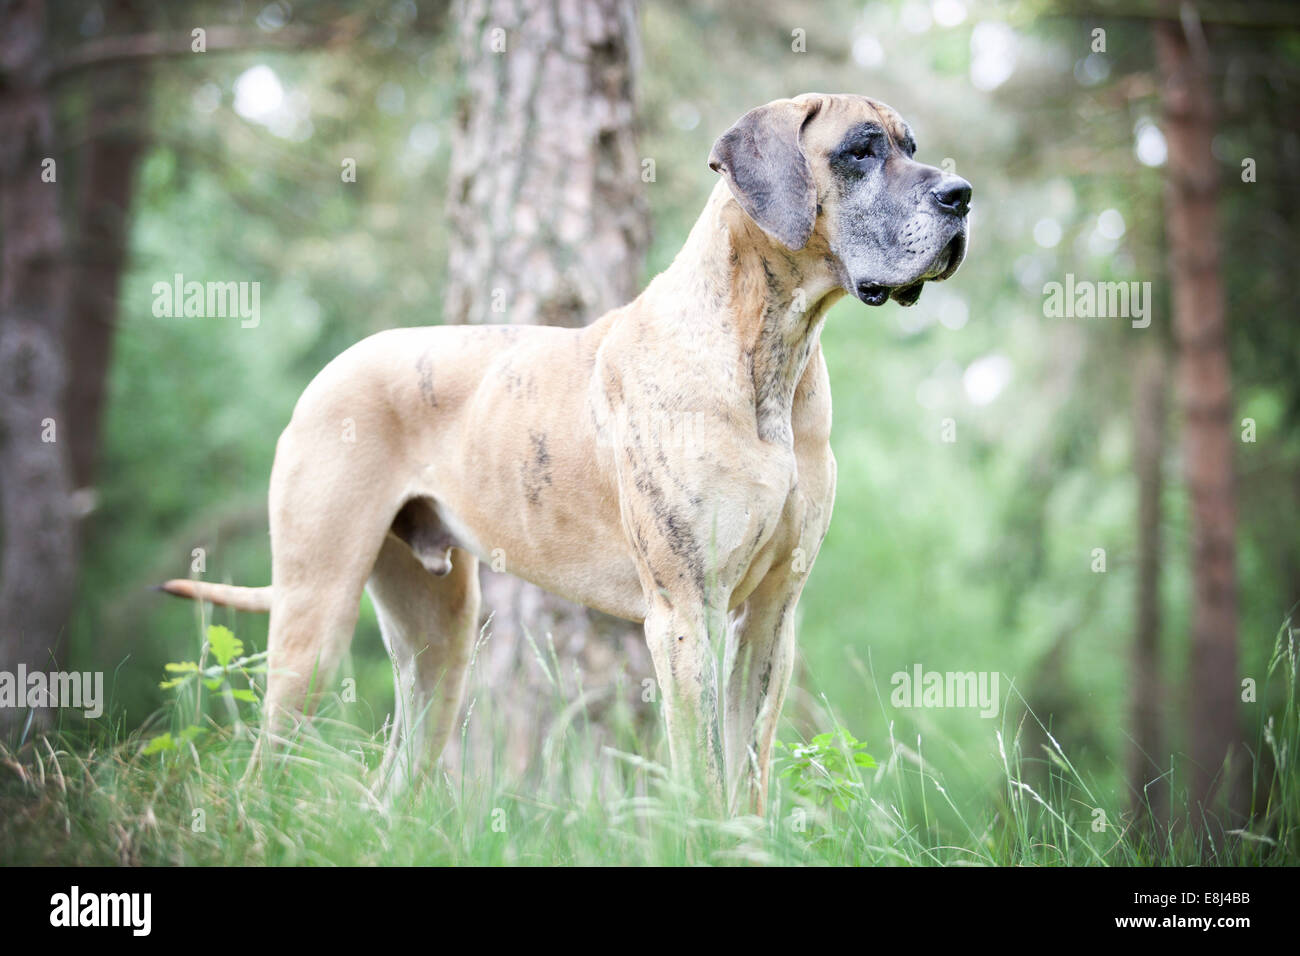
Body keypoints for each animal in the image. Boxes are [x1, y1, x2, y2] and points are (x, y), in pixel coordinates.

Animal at [162, 93, 972, 816]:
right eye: (860, 150)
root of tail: (332, 368)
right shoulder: (686, 614)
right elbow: (706, 775)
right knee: (264, 767)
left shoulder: (771, 615)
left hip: (438, 645)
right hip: (316, 611)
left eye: (910, 145)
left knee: (392, 778)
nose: (961, 196)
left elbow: (749, 777)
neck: (770, 354)